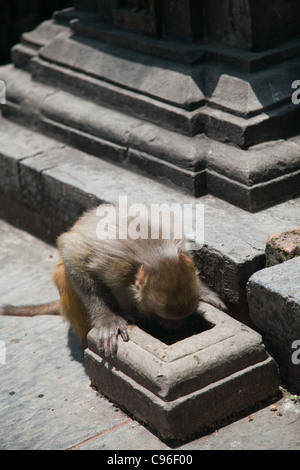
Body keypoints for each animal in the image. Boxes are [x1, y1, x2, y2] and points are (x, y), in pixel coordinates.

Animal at [0, 204, 227, 354]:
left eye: (179, 319)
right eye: (167, 319)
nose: (175, 326)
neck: (156, 253)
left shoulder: (181, 246)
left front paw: (204, 292)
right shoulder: (114, 264)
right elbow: (72, 252)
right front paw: (108, 319)